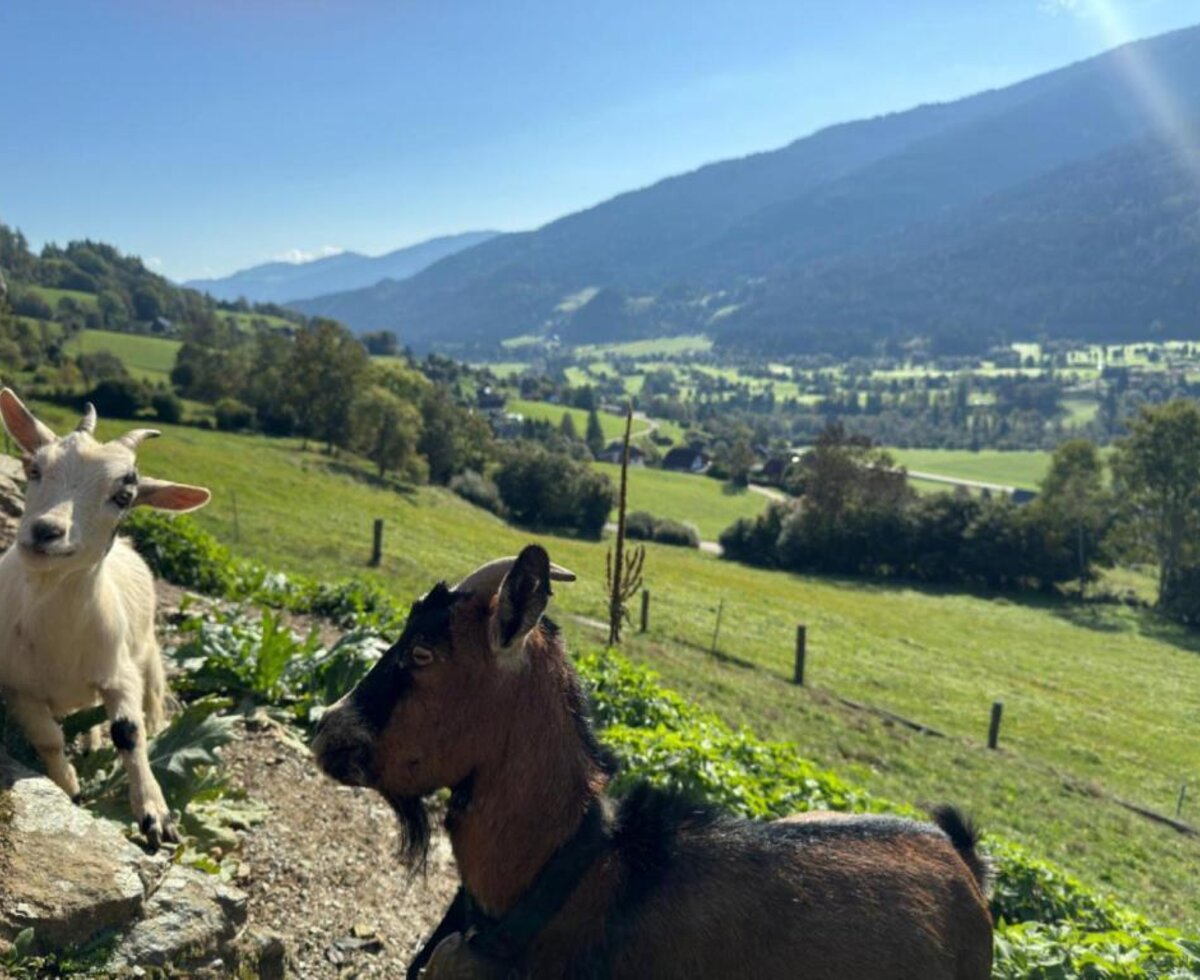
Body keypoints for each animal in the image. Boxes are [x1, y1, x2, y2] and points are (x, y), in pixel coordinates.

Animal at [0, 389, 211, 848]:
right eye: (34, 468)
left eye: (123, 497)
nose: (45, 531)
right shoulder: (18, 685)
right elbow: (47, 738)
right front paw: (69, 787)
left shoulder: (119, 673)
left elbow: (130, 733)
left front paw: (155, 816)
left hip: (148, 655)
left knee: (148, 712)